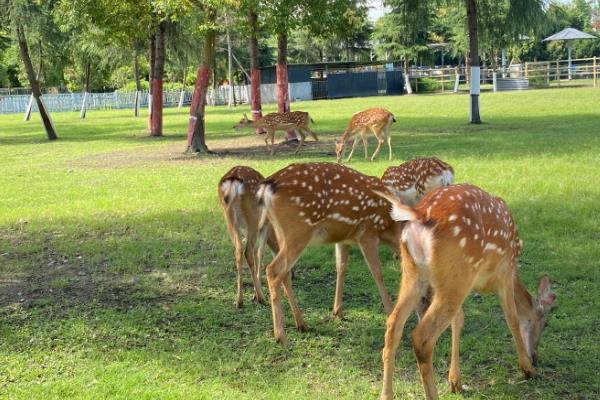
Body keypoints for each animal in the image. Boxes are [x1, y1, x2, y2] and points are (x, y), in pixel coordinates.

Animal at [218, 164, 278, 308]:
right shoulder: (265, 225)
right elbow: (260, 253)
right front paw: (256, 293)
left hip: (229, 217)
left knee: (238, 250)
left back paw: (239, 301)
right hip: (253, 218)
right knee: (248, 252)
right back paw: (261, 298)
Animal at [258, 162, 404, 344]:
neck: (389, 227)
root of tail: (268, 186)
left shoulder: (344, 239)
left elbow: (341, 268)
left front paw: (338, 312)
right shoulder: (367, 233)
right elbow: (377, 273)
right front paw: (390, 312)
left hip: (281, 233)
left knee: (284, 273)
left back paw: (302, 324)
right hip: (298, 230)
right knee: (273, 270)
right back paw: (280, 336)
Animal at [376, 184, 556, 400]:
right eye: (545, 323)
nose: (535, 358)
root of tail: (420, 213)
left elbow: (459, 320)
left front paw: (455, 382)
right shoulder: (505, 271)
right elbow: (511, 318)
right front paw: (528, 369)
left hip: (416, 271)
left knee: (393, 324)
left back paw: (386, 394)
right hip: (457, 271)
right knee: (422, 337)